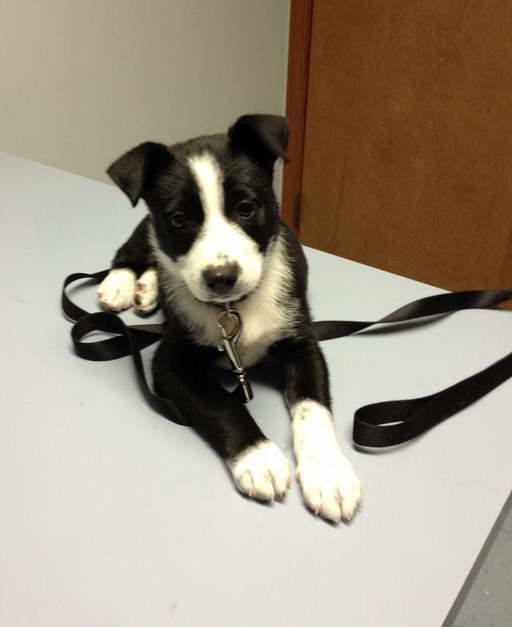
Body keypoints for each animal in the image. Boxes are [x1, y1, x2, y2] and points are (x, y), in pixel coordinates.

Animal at [100, 114, 362, 524]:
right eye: (178, 219)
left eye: (246, 208)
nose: (221, 277)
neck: (233, 309)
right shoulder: (170, 364)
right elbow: (221, 403)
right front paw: (259, 459)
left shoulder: (303, 343)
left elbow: (313, 408)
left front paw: (328, 474)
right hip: (147, 231)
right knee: (132, 250)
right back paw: (121, 284)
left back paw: (147, 288)